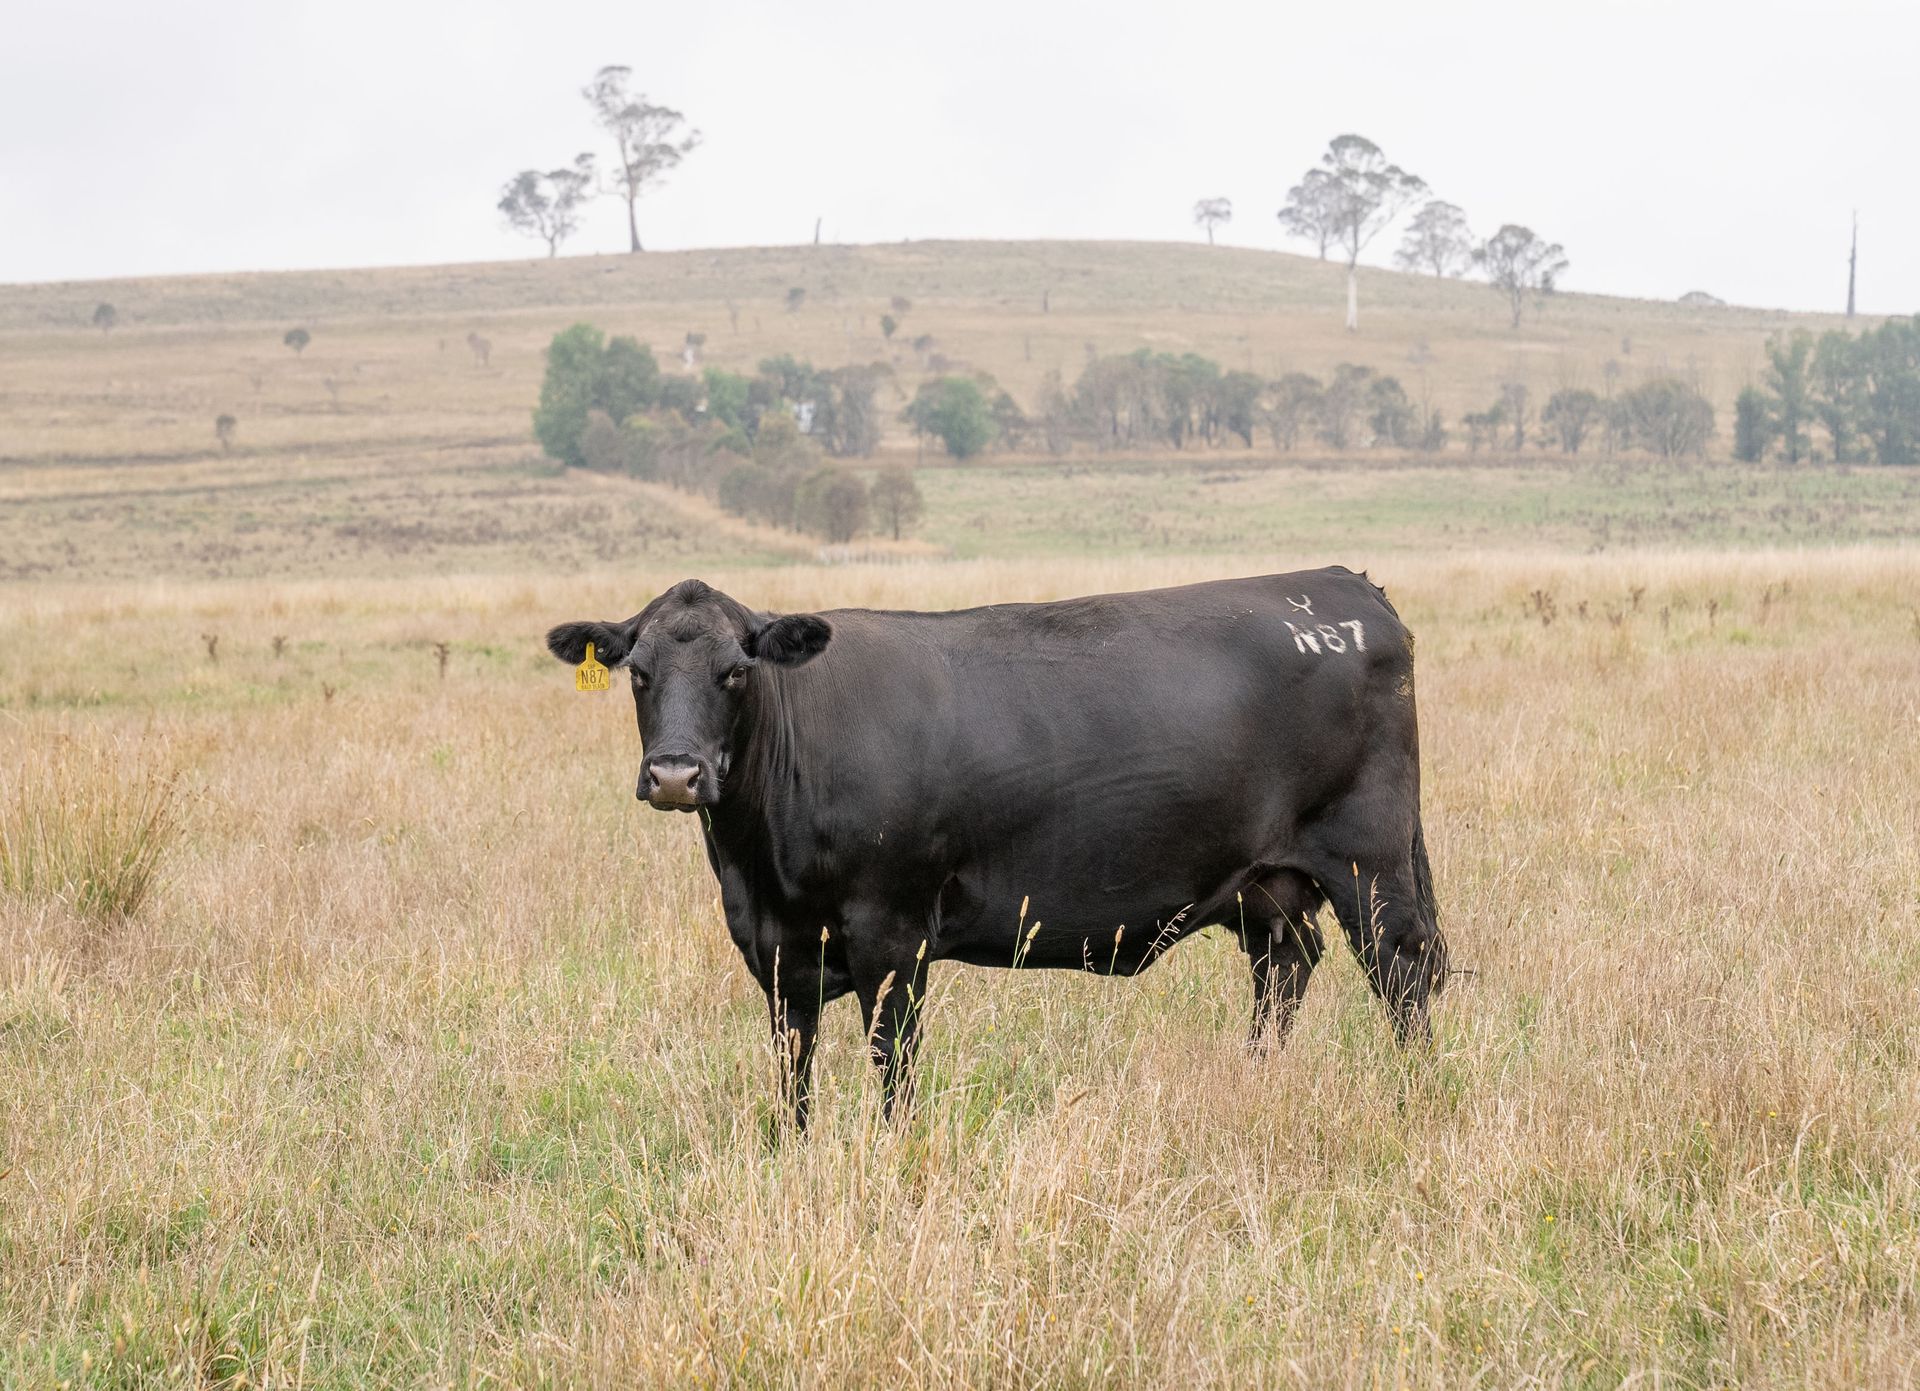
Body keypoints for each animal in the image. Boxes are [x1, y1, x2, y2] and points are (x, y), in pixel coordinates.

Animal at [546, 569, 1447, 1128]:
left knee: (1402, 977)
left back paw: (1415, 1103)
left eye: (735, 670)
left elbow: (894, 1070)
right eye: (637, 672)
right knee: (1284, 968)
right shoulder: (776, 953)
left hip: (1372, 865)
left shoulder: (891, 939)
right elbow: (793, 1078)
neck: (760, 865)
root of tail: (1343, 585)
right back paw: (1257, 1081)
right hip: (1270, 888)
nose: (676, 772)